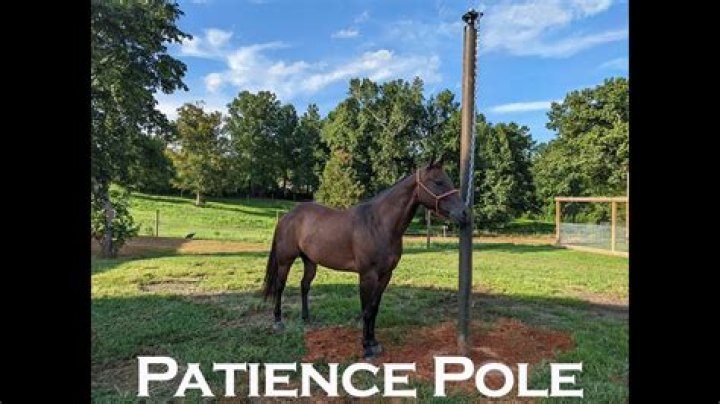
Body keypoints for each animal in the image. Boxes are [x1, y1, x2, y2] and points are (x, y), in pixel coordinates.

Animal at [262, 156, 469, 358]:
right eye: (438, 182)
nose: (464, 213)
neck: (379, 224)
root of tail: (286, 216)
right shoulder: (367, 275)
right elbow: (367, 309)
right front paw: (367, 347)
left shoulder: (385, 275)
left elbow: (374, 308)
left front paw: (374, 342)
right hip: (285, 261)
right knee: (280, 286)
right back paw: (278, 321)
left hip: (310, 261)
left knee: (304, 285)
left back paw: (306, 319)